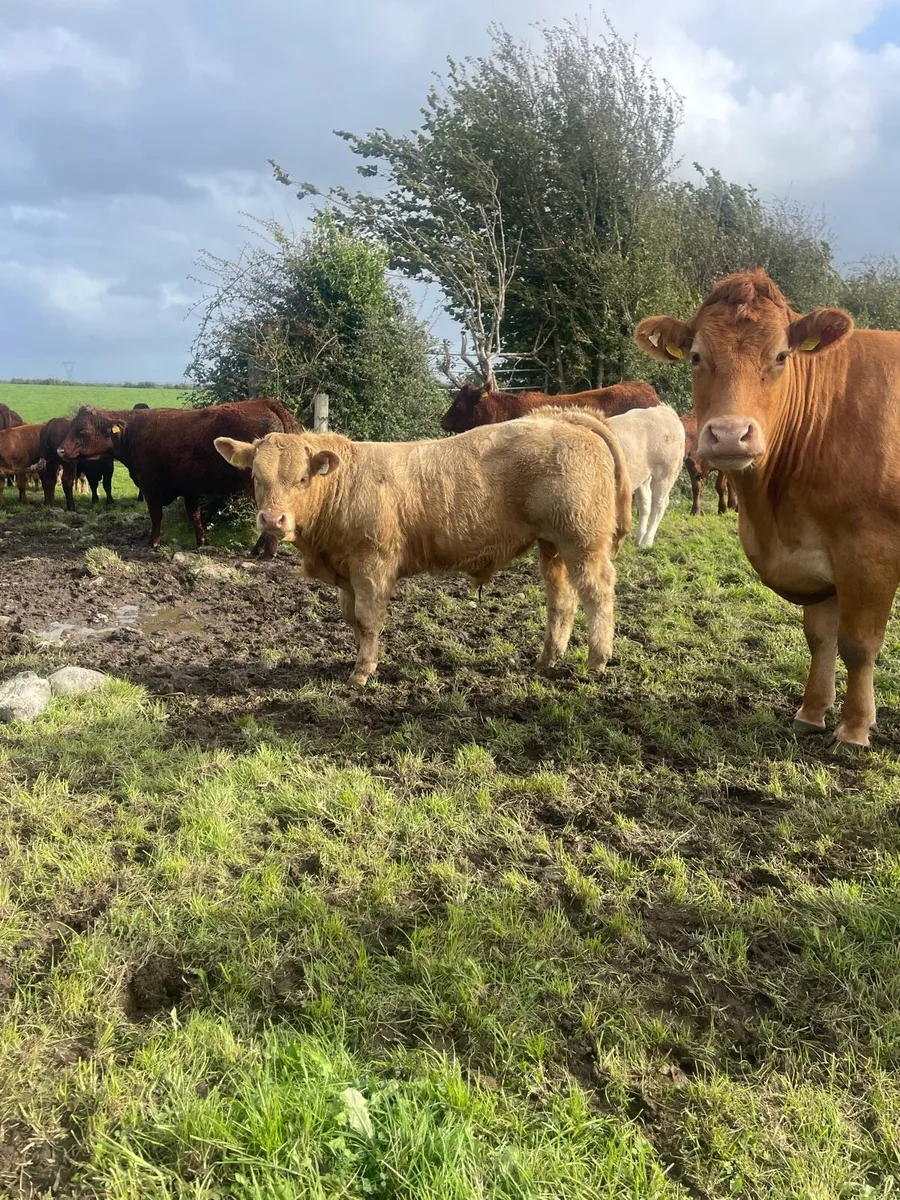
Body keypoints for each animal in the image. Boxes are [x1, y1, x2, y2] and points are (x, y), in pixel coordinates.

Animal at [57, 398, 299, 552]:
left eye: (82, 431)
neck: (135, 431)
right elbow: (195, 515)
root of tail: (263, 401)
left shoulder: (150, 486)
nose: (60, 450)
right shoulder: (189, 488)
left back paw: (265, 552)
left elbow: (156, 515)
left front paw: (152, 542)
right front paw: (201, 541)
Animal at [214, 408, 632, 686]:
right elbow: (352, 619)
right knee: (561, 599)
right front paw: (358, 662)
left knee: (597, 594)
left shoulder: (373, 563)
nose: (273, 520)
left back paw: (597, 661)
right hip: (552, 544)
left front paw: (361, 674)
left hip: (583, 541)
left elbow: (368, 619)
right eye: (255, 476)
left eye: (302, 478)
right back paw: (547, 660)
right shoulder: (348, 569)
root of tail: (561, 418)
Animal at [605, 405, 685, 549]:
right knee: (645, 503)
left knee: (659, 505)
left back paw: (646, 541)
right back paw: (639, 538)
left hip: (665, 473)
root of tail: (665, 410)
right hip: (642, 476)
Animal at [635, 267, 900, 747]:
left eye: (780, 356)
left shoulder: (870, 554)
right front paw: (811, 712)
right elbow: (820, 637)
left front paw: (854, 727)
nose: (729, 433)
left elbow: (859, 644)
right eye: (696, 356)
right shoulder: (817, 556)